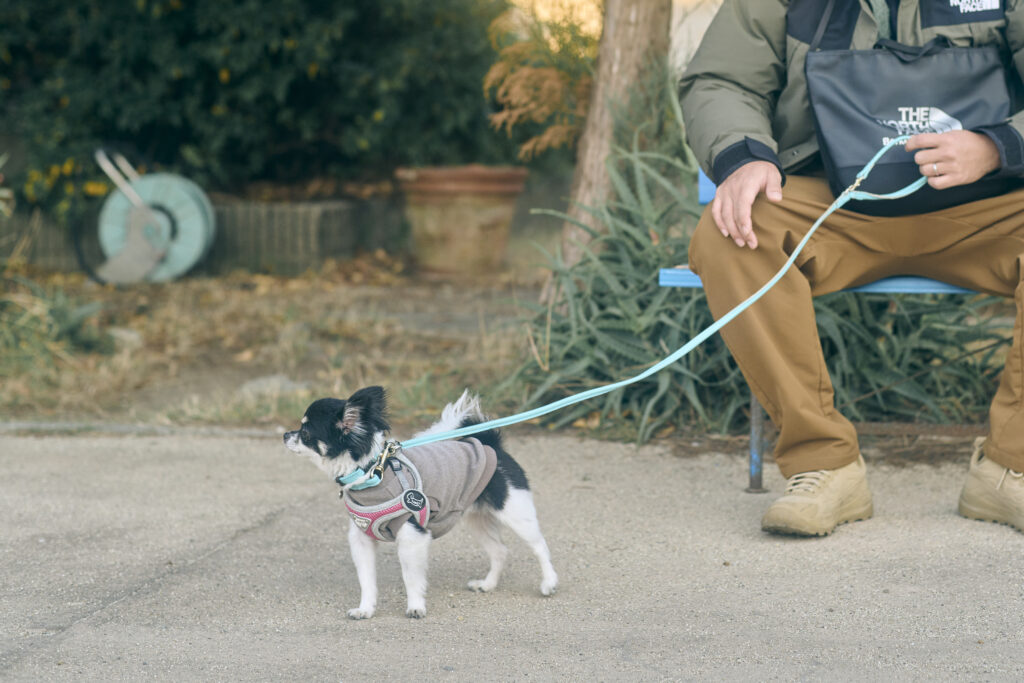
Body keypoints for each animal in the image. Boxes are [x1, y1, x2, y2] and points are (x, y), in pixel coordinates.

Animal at [282, 389, 561, 618]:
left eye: (305, 433)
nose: (285, 434)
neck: (372, 472)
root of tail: (489, 443)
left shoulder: (411, 536)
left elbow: (411, 577)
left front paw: (415, 607)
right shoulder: (361, 539)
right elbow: (367, 580)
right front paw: (365, 609)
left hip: (515, 512)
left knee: (539, 546)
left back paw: (549, 583)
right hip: (476, 519)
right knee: (500, 551)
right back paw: (488, 584)